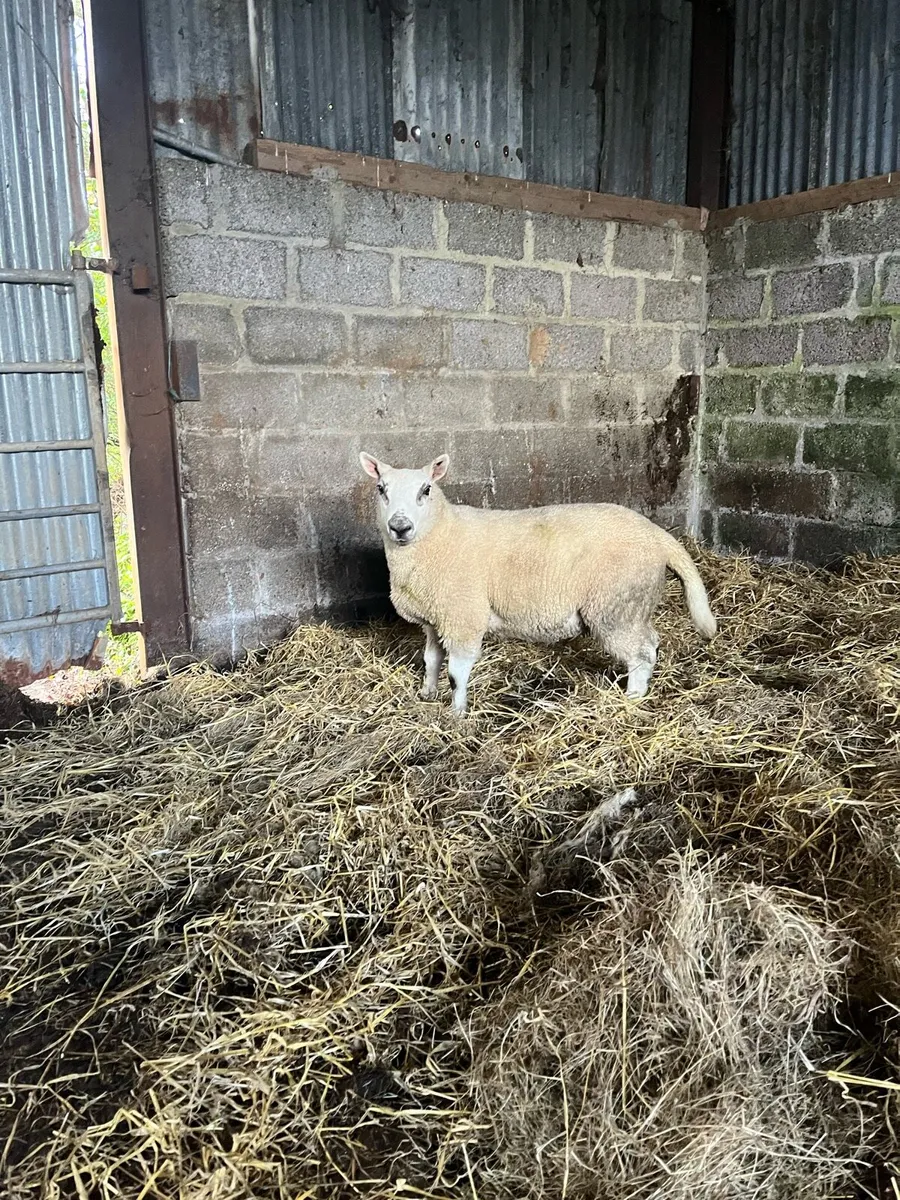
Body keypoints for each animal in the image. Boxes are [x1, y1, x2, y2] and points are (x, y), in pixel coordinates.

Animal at [359, 451, 716, 716]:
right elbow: (431, 660)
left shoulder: (464, 616)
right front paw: (427, 693)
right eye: (381, 489)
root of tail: (657, 535)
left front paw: (457, 713)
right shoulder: (435, 618)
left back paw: (632, 698)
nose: (400, 527)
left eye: (426, 490)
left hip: (615, 605)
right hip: (633, 605)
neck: (440, 534)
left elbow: (457, 673)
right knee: (651, 642)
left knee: (641, 654)